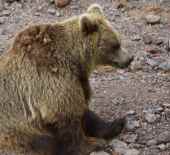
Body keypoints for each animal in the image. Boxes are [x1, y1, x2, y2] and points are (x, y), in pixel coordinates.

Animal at [0, 3, 133, 155]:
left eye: (119, 40)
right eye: (115, 45)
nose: (130, 58)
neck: (74, 59)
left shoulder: (77, 79)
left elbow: (84, 108)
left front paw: (117, 123)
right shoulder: (50, 79)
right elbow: (67, 115)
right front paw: (93, 143)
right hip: (16, 135)